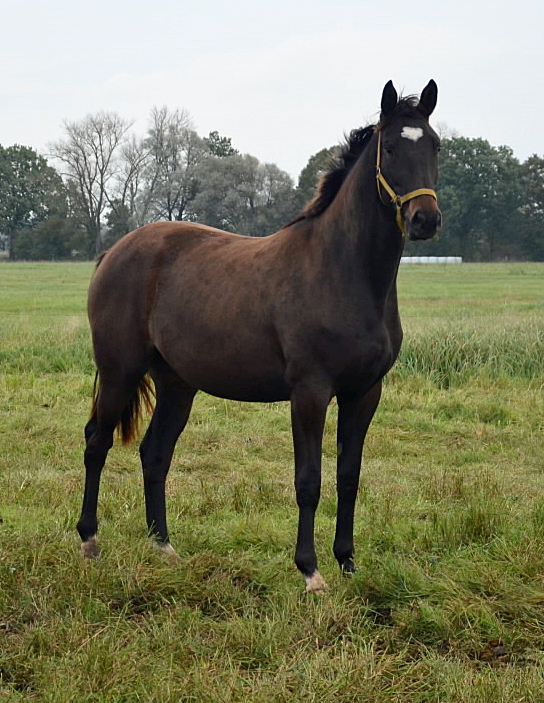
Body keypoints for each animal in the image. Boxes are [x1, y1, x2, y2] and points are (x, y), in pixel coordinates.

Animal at [77, 80, 442, 592]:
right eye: (389, 147)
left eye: (435, 146)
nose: (425, 219)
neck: (342, 270)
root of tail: (113, 252)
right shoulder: (310, 392)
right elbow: (309, 480)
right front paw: (310, 571)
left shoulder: (365, 392)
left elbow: (348, 476)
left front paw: (348, 563)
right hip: (119, 371)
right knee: (97, 442)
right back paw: (89, 540)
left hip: (177, 384)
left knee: (155, 453)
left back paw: (164, 546)